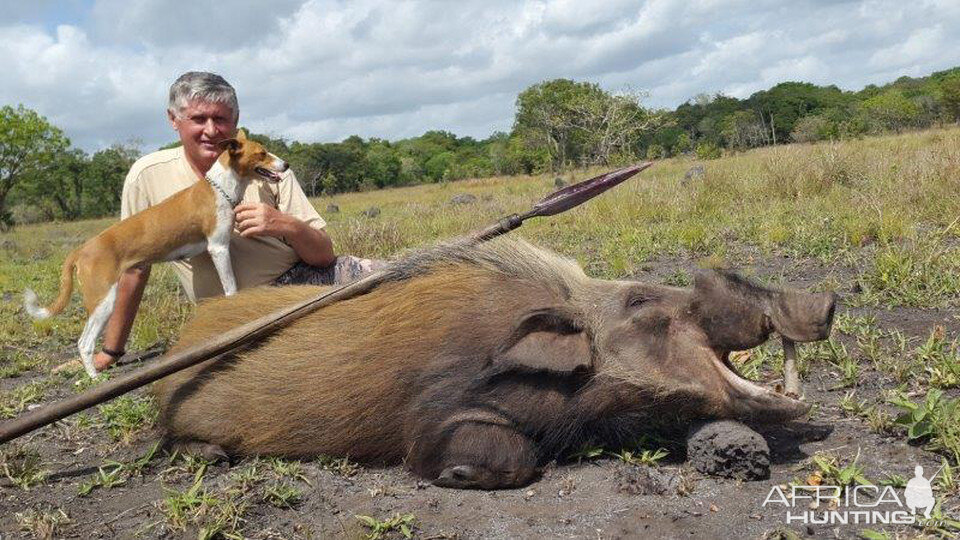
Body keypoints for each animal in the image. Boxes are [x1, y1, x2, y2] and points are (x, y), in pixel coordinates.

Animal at [22, 129, 284, 378]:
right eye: (262, 153)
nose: (286, 165)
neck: (221, 188)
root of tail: (82, 249)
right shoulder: (218, 247)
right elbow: (231, 288)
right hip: (103, 300)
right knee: (84, 342)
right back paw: (94, 377)